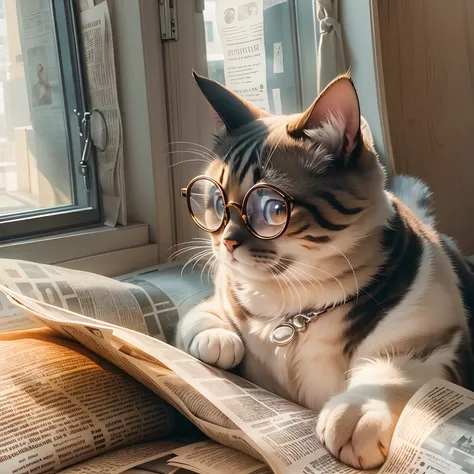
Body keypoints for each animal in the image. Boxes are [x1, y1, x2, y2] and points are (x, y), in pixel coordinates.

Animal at [175, 72, 474, 468]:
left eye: (272, 208)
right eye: (216, 200)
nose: (226, 242)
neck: (291, 304)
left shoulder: (441, 344)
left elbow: (397, 373)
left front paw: (357, 414)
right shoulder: (222, 301)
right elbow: (201, 316)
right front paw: (218, 340)